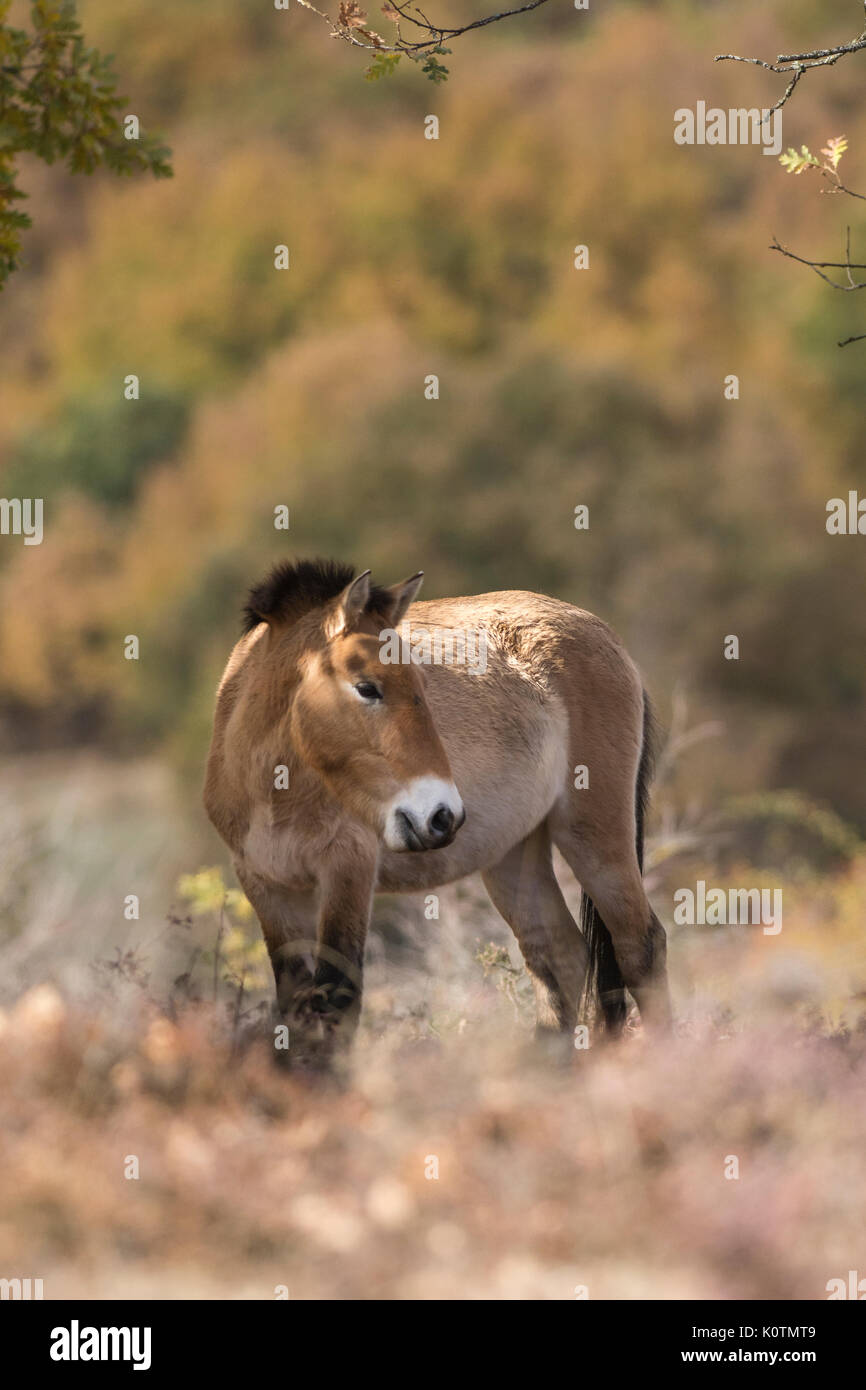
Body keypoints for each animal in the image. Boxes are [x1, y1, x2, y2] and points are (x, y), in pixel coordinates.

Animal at [202, 558, 670, 1056]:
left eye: (421, 685)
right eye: (367, 688)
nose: (443, 816)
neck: (276, 789)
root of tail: (606, 636)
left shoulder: (347, 872)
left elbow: (337, 999)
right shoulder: (267, 887)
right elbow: (297, 1006)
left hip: (594, 835)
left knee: (639, 945)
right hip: (514, 853)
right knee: (558, 954)